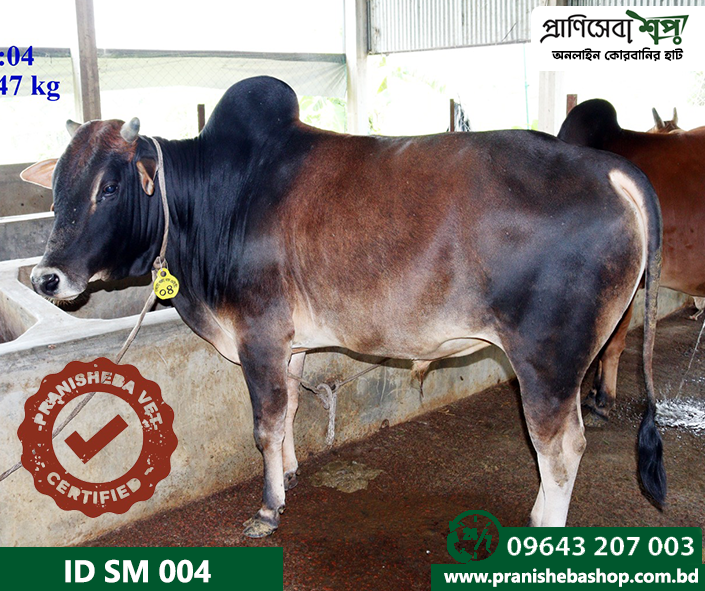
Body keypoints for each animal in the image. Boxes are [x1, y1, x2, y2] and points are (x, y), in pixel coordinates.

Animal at [21, 76, 665, 536]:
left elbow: (264, 423)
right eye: (56, 186)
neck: (215, 199)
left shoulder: (258, 335)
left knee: (561, 448)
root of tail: (612, 168)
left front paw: (267, 509)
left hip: (547, 362)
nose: (46, 277)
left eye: (109, 187)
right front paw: (289, 474)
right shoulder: (290, 344)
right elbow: (288, 414)